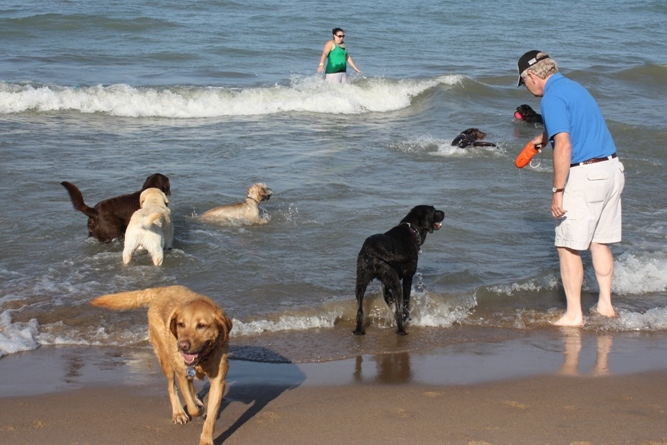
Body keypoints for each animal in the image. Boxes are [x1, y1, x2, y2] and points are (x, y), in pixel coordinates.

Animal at [352, 204, 446, 332]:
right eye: (434, 210)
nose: (444, 212)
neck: (412, 230)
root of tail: (374, 247)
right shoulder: (407, 278)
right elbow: (406, 302)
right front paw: (407, 317)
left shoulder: (386, 284)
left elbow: (388, 299)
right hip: (395, 283)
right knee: (398, 312)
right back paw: (401, 330)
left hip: (361, 281)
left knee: (360, 311)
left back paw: (358, 330)